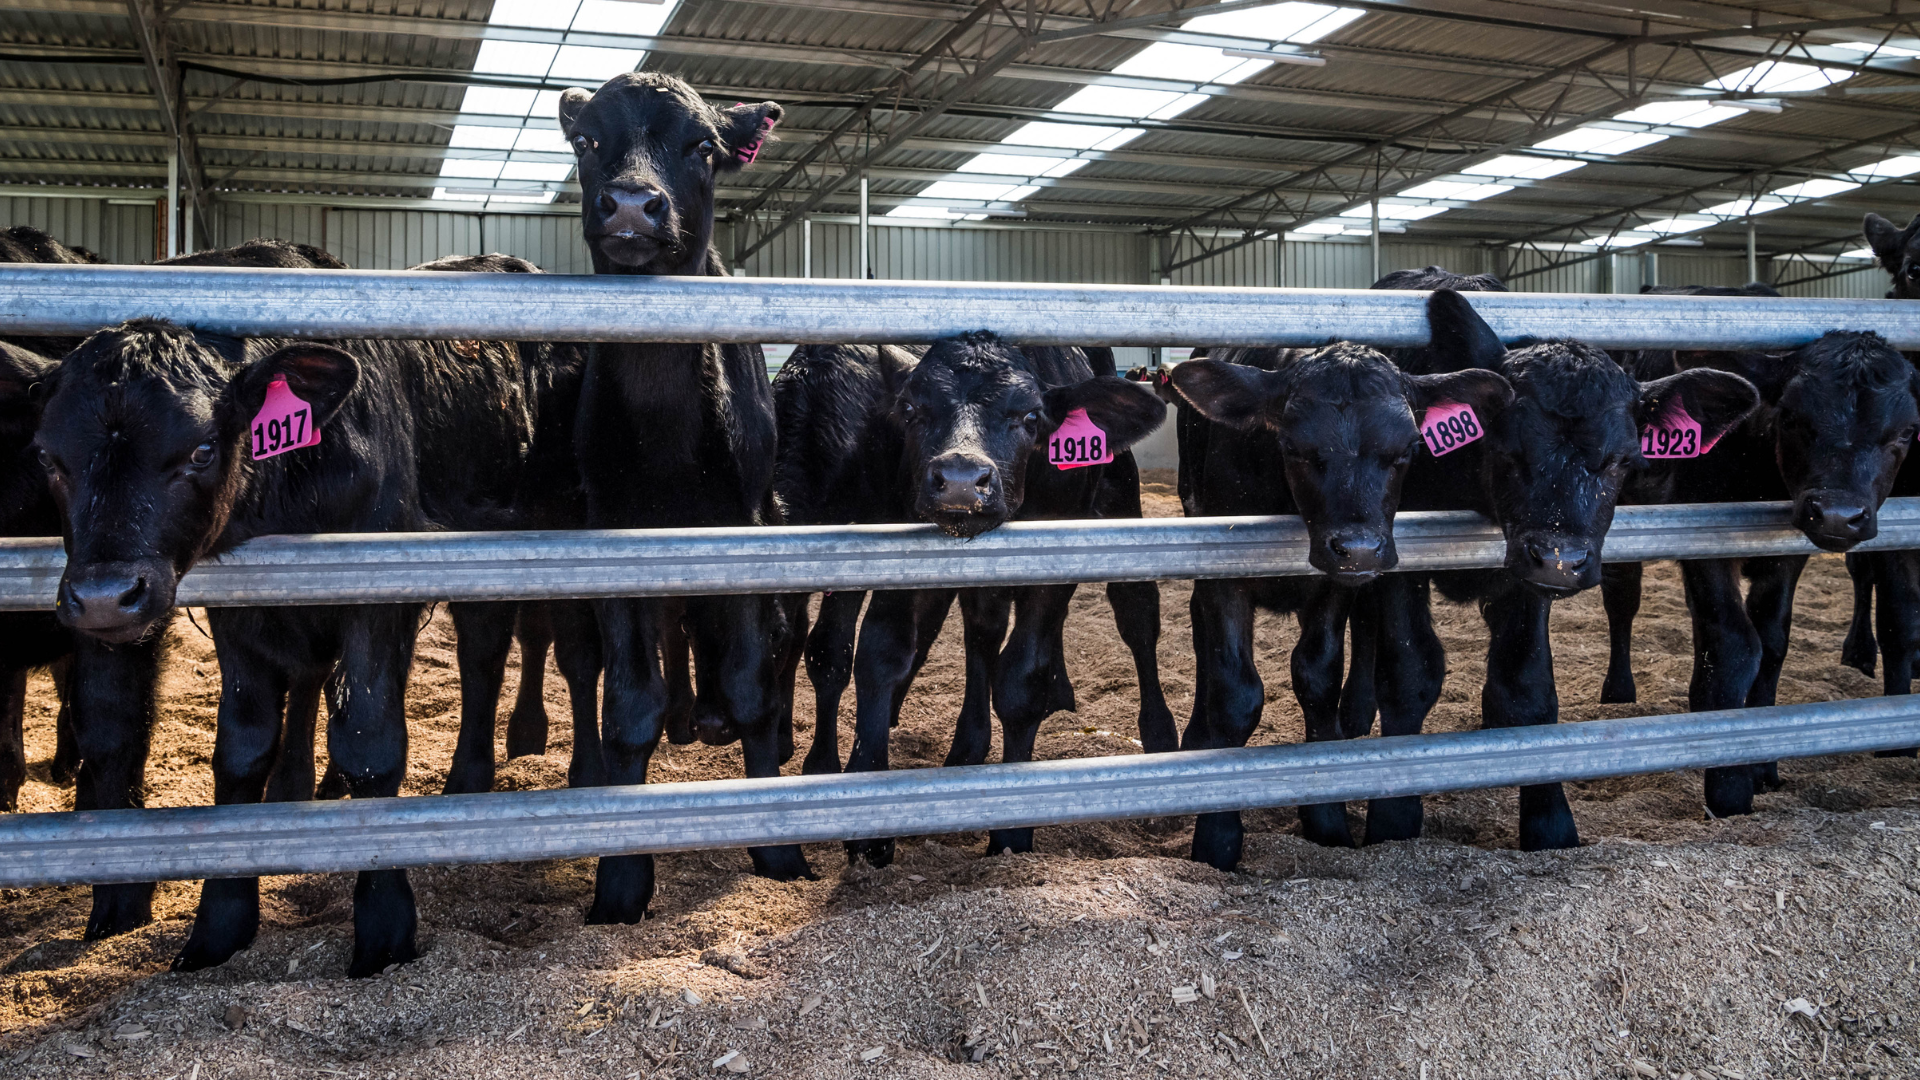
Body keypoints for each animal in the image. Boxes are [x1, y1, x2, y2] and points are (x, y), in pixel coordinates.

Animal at [557, 71, 801, 918]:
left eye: (701, 145)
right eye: (588, 140)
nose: (633, 203)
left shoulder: (748, 520)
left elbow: (754, 681)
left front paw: (779, 850)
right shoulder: (611, 531)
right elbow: (630, 705)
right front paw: (620, 884)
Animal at [771, 335, 1167, 866]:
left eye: (1031, 416)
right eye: (912, 410)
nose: (961, 480)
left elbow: (1021, 680)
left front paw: (1012, 834)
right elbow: (866, 654)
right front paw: (859, 803)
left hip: (1121, 495)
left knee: (1136, 611)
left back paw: (1158, 732)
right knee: (983, 631)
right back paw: (969, 745)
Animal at [1165, 324, 1513, 869]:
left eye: (1408, 448)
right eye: (1294, 446)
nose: (1360, 548)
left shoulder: (1332, 586)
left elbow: (1317, 677)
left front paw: (1326, 819)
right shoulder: (1224, 577)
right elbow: (1234, 692)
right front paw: (1216, 837)